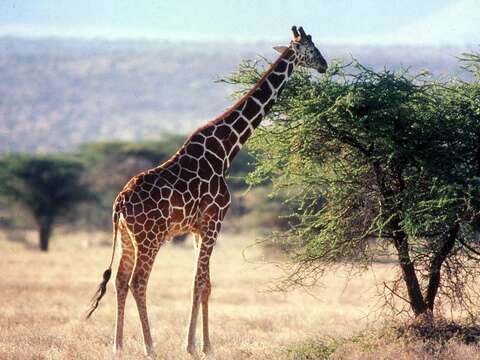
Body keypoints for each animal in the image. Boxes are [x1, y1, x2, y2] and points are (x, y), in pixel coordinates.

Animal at [85, 26, 326, 358]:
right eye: (312, 49)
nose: (325, 66)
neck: (226, 149)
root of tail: (119, 202)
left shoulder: (198, 229)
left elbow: (201, 284)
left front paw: (199, 344)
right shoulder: (214, 222)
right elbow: (202, 283)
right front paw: (197, 346)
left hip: (127, 236)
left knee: (121, 280)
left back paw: (118, 347)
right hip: (150, 238)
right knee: (138, 282)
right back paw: (149, 347)